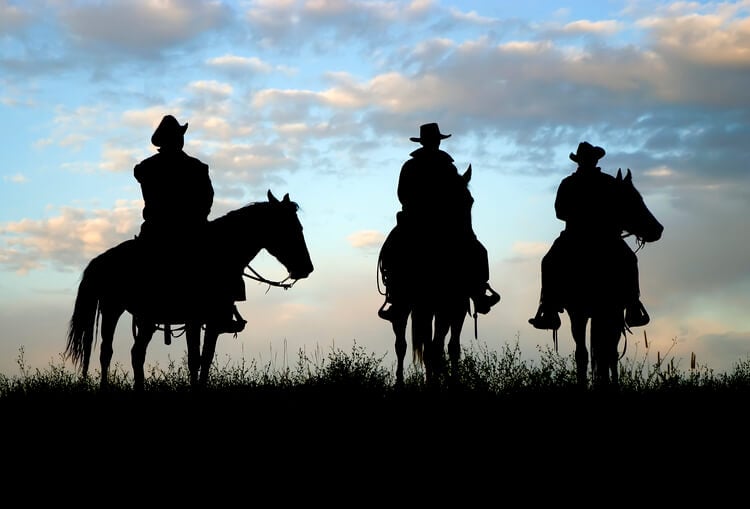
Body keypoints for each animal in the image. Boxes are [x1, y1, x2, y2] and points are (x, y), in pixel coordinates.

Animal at [63, 189, 312, 390]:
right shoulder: (199, 320)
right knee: (112, 352)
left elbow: (204, 358)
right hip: (115, 309)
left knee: (130, 353)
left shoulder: (208, 321)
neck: (217, 253)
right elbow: (196, 359)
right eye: (291, 228)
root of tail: (101, 259)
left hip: (139, 317)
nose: (307, 268)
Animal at [378, 166, 490, 384]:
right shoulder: (427, 306)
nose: (468, 243)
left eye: (470, 201)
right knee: (402, 343)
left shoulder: (457, 306)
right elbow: (430, 347)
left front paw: (452, 382)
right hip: (404, 305)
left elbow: (450, 347)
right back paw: (401, 383)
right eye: (448, 200)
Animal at [556, 167, 668, 384]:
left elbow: (607, 353)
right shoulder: (578, 312)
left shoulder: (613, 309)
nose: (658, 229)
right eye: (632, 199)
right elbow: (583, 354)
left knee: (609, 352)